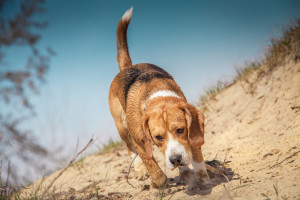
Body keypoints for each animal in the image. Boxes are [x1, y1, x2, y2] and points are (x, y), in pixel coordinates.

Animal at [108, 7, 209, 188]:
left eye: (180, 130)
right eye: (158, 137)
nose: (175, 160)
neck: (157, 96)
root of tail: (127, 68)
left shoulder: (192, 134)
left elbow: (197, 159)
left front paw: (202, 180)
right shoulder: (140, 142)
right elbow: (154, 169)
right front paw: (157, 183)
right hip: (122, 127)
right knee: (129, 148)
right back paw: (139, 168)